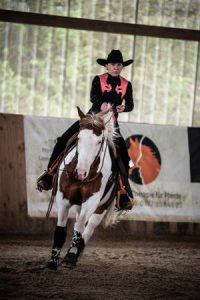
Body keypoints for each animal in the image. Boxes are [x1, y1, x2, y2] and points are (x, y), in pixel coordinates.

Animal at [46, 106, 119, 270]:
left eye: (99, 141)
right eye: (79, 138)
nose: (81, 172)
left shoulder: (91, 202)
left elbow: (79, 227)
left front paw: (70, 256)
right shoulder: (63, 198)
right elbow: (61, 229)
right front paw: (53, 261)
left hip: (101, 208)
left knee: (88, 229)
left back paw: (74, 254)